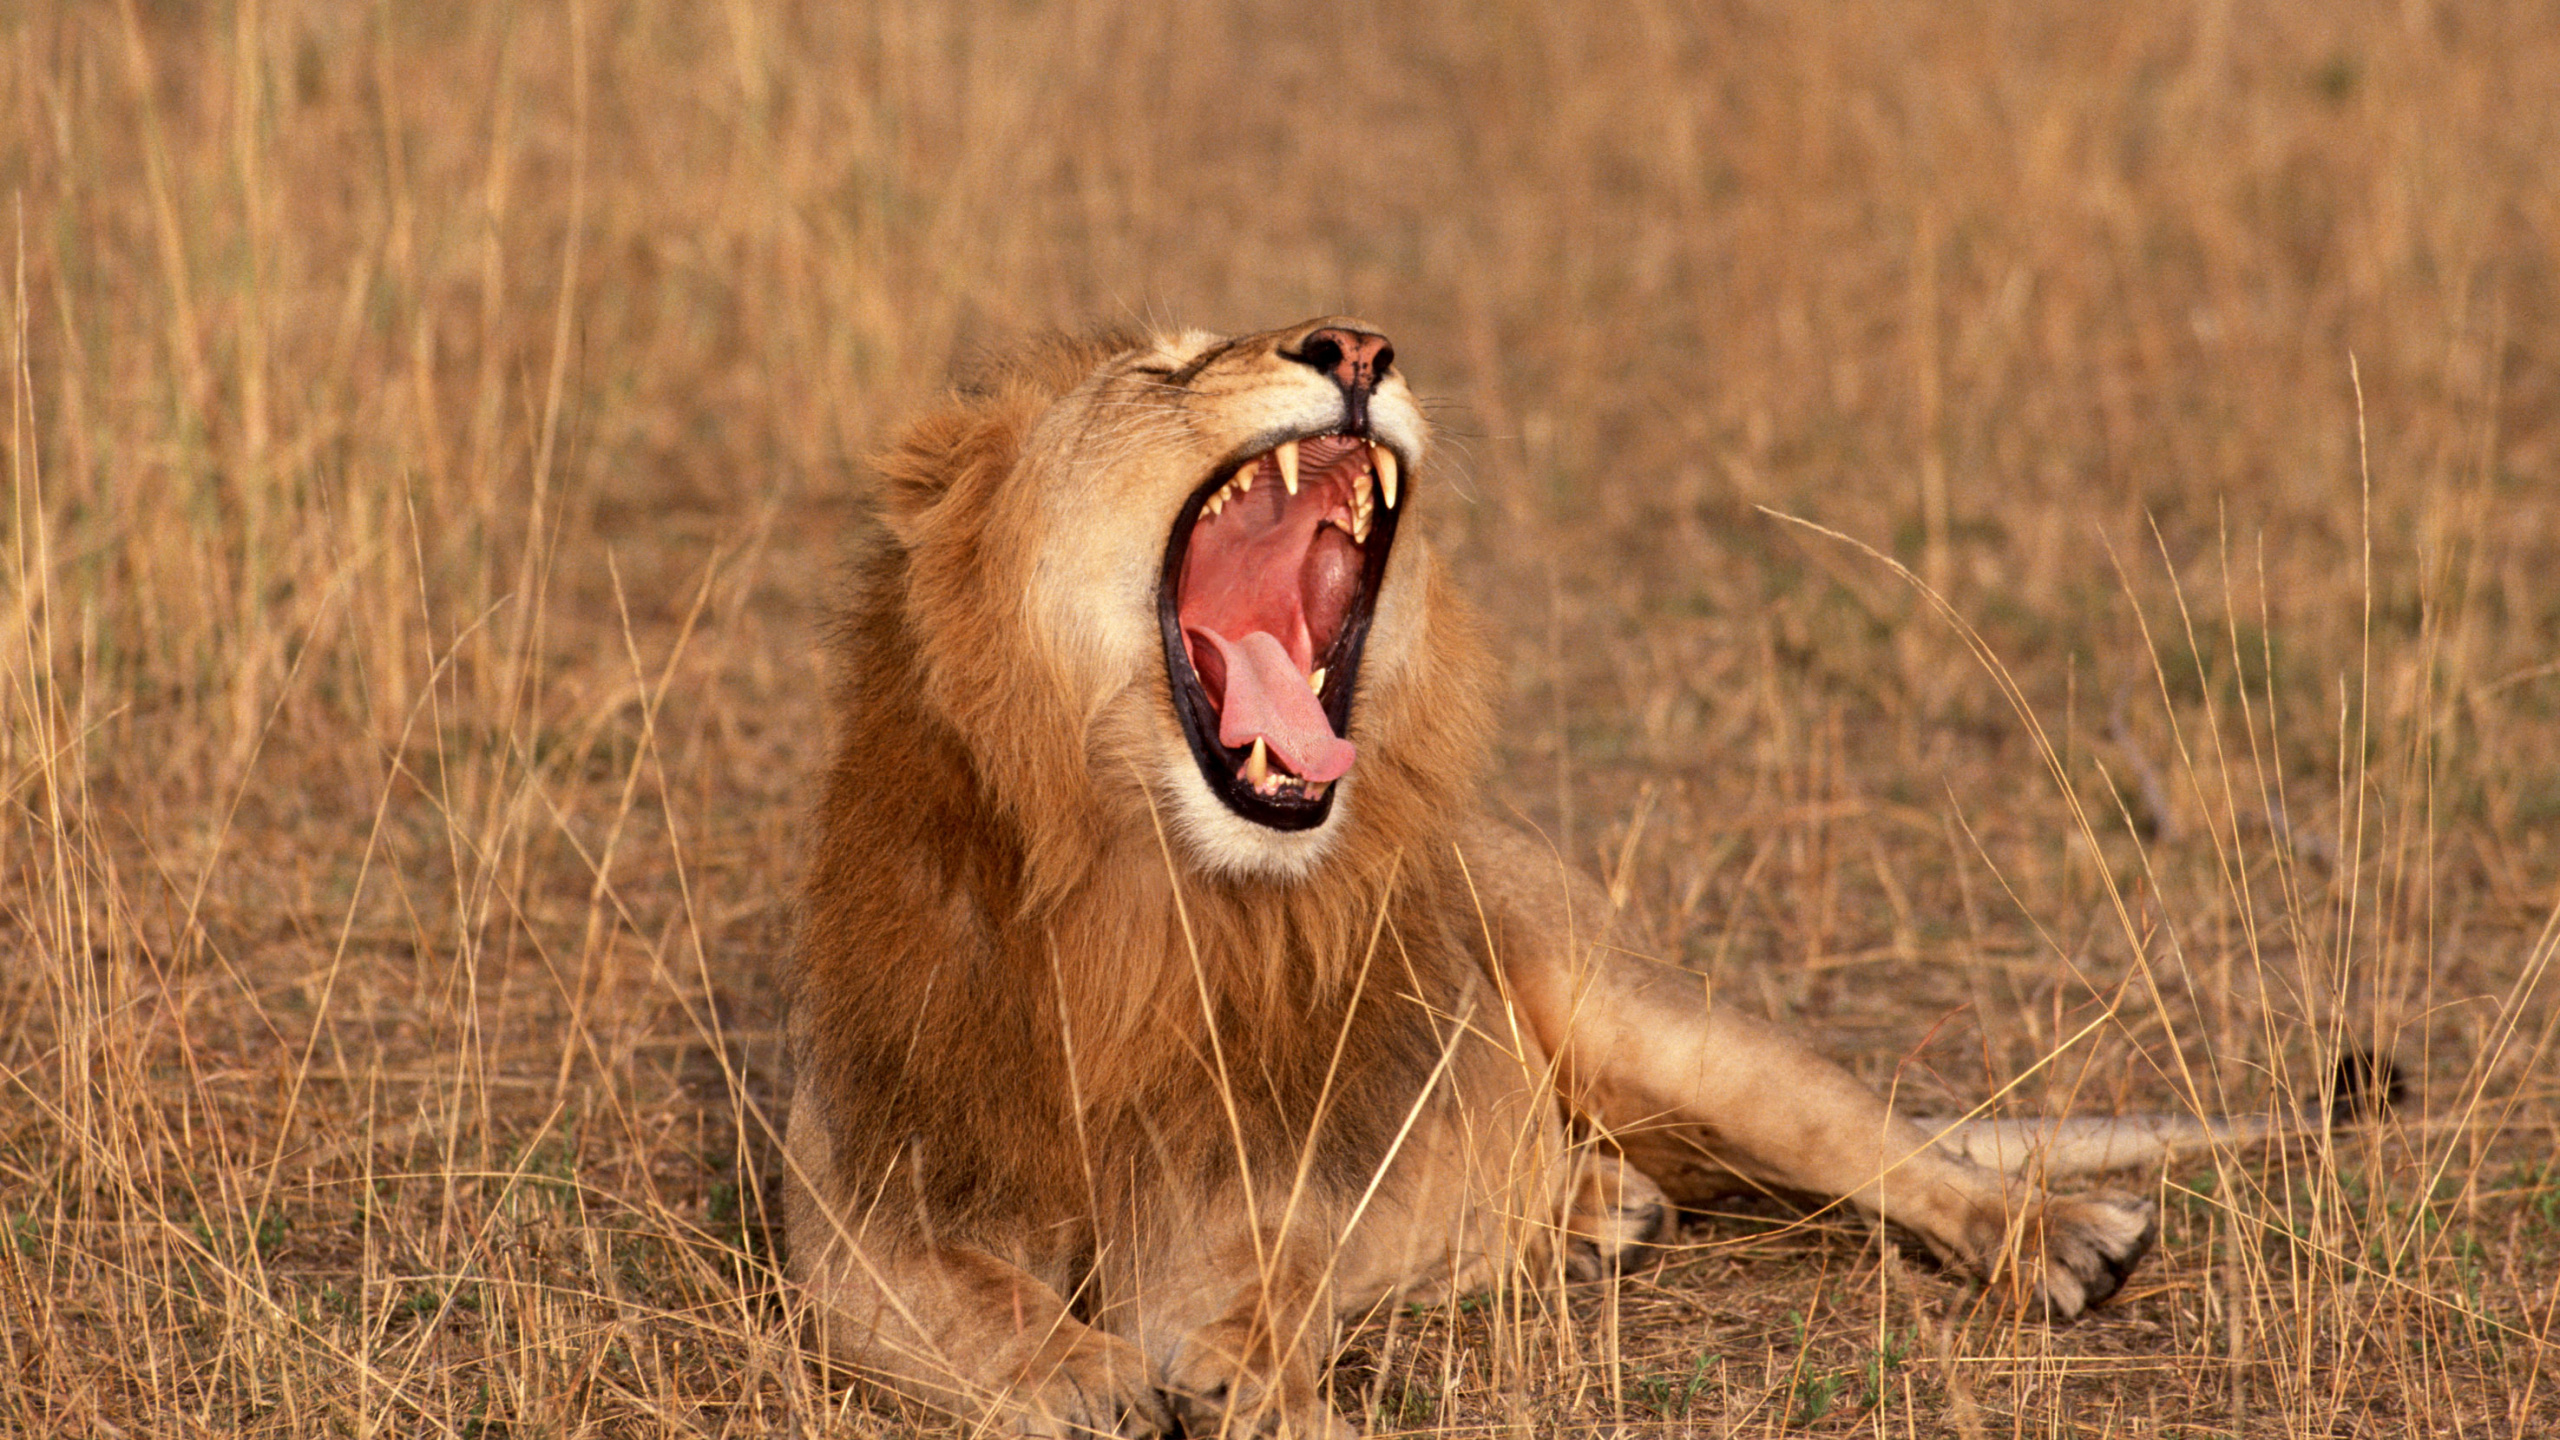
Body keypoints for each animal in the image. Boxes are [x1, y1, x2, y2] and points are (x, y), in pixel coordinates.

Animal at [783, 318, 2192, 1437]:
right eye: (1161, 367)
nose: (1356, 344)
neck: (1138, 892)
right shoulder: (866, 1199)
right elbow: (964, 1301)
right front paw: (1080, 1375)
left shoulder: (1243, 1196)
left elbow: (1256, 1302)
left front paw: (1249, 1386)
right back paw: (1596, 1212)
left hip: (1651, 1016)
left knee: (1883, 1143)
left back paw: (2062, 1238)